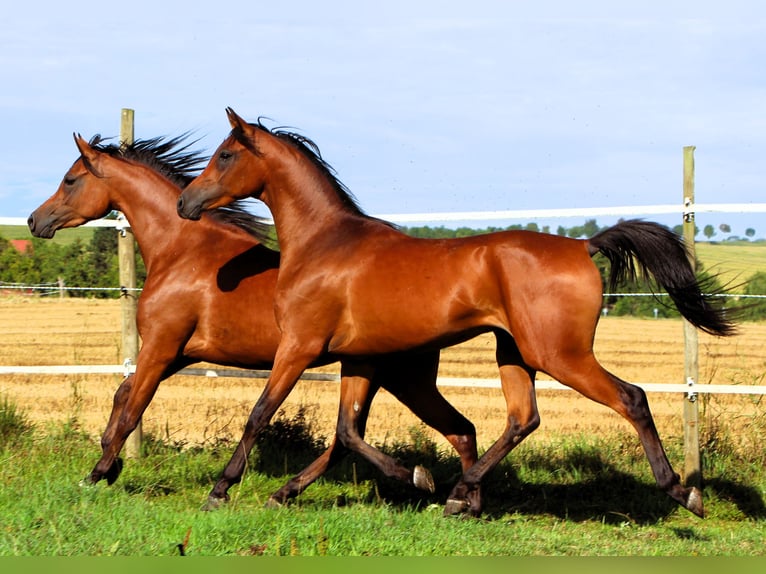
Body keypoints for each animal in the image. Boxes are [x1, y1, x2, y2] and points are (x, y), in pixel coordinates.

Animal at [28, 133, 481, 509]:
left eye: (70, 180)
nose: (35, 220)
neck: (183, 250)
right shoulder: (181, 352)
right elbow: (122, 395)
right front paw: (108, 465)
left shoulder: (161, 346)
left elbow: (133, 409)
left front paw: (100, 472)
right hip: (385, 375)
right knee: (408, 432)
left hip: (403, 378)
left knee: (428, 431)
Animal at [177, 108, 738, 518]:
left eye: (225, 155)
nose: (186, 203)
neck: (324, 244)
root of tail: (583, 245)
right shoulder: (358, 357)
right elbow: (346, 431)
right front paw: (414, 476)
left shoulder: (299, 346)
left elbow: (261, 414)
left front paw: (219, 491)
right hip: (515, 352)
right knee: (522, 418)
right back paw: (460, 494)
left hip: (560, 354)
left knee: (631, 397)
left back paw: (682, 492)